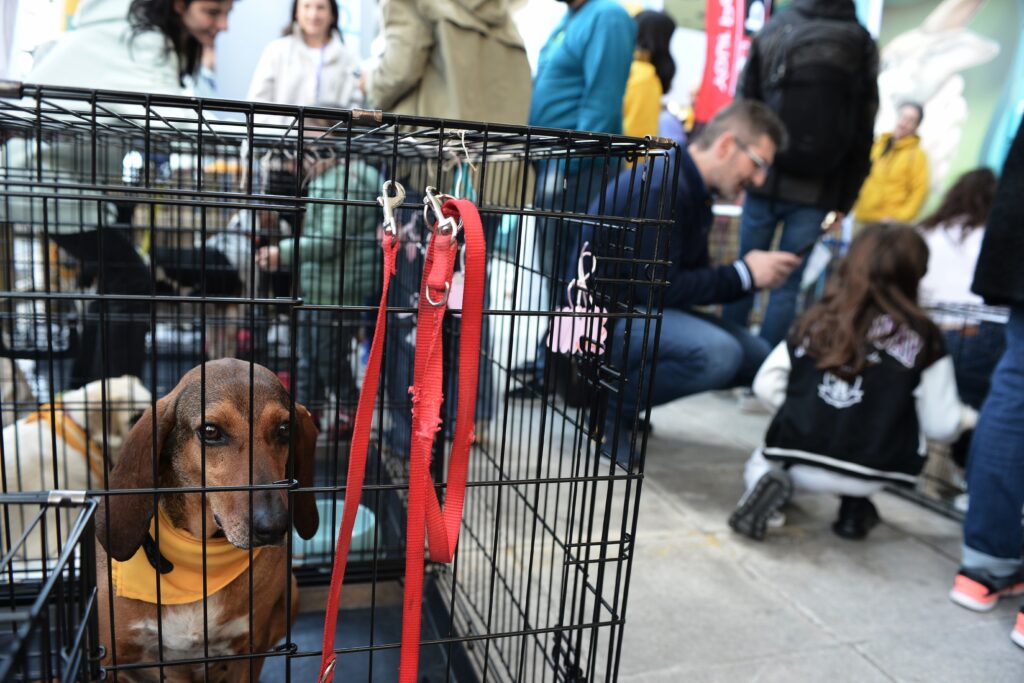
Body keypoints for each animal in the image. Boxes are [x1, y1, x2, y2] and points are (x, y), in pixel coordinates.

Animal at [96, 360, 319, 679]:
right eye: (211, 431)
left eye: (284, 429)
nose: (273, 526)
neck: (199, 560)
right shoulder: (111, 659)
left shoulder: (247, 652)